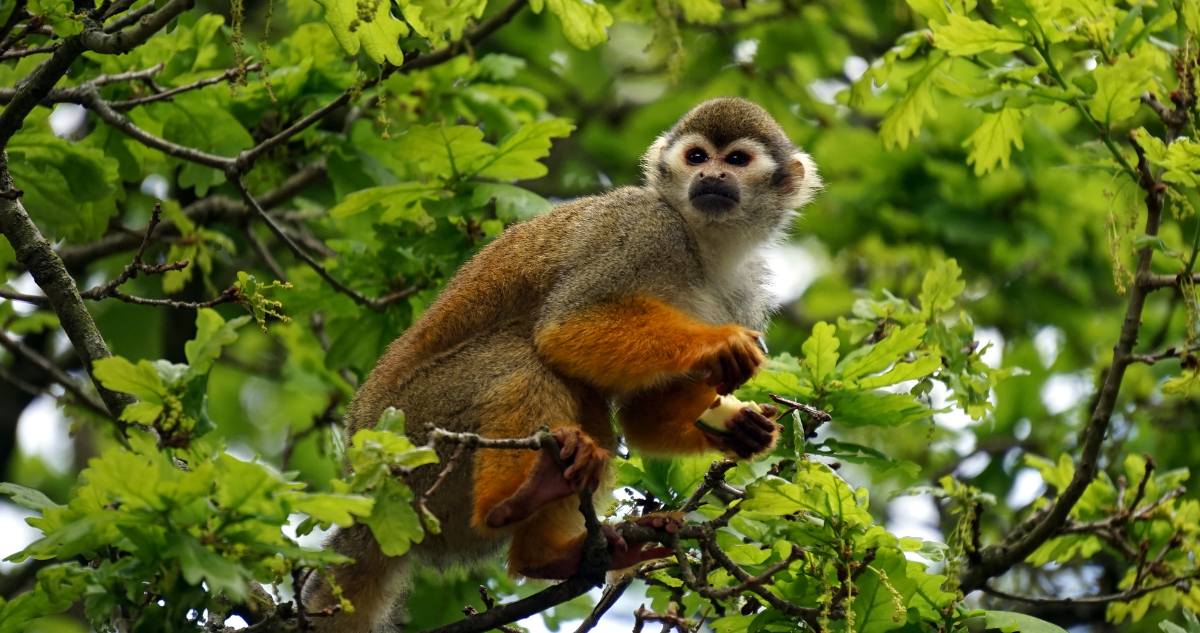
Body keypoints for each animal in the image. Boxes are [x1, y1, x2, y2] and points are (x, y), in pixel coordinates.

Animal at [301, 97, 822, 633]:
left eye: (736, 160)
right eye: (697, 156)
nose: (712, 175)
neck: (704, 246)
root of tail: (364, 481)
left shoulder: (747, 291)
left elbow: (640, 415)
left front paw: (740, 429)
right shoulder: (643, 228)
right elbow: (563, 328)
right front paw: (718, 345)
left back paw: (549, 553)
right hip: (413, 435)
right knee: (523, 357)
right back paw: (513, 502)